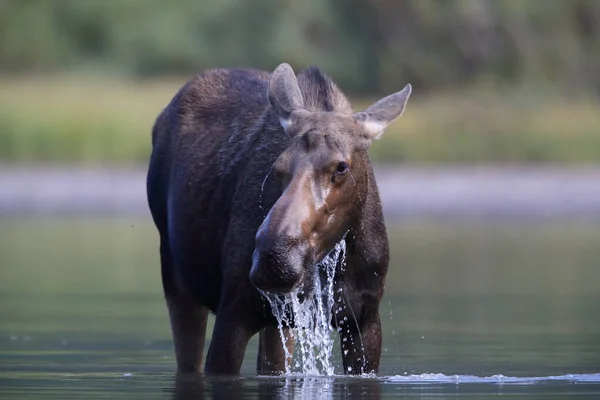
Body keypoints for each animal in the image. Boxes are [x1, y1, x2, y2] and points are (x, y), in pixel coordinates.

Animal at [147, 62, 410, 376]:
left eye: (341, 167)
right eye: (278, 165)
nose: (275, 259)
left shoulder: (364, 318)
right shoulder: (233, 311)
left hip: (280, 320)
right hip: (177, 281)